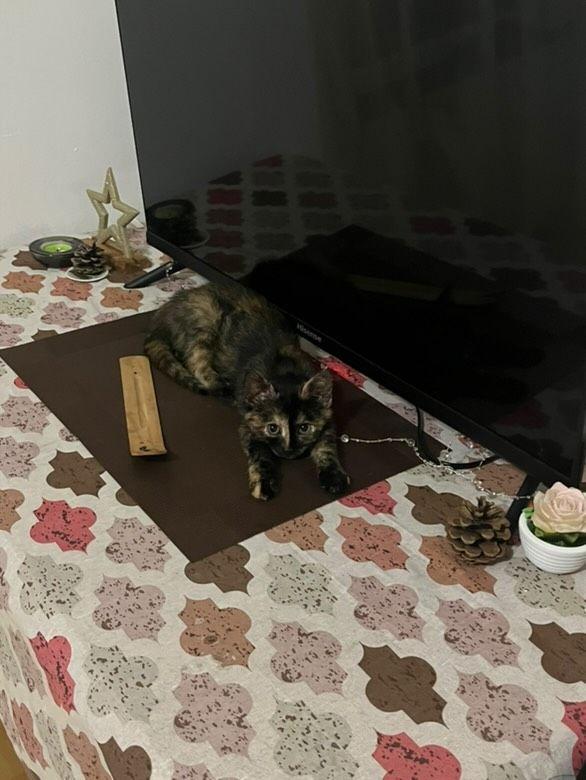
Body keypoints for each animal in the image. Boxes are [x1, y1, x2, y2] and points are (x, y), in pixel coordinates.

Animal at [144, 283, 350, 500]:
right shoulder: (248, 425)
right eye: (272, 428)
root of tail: (164, 313)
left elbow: (327, 447)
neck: (285, 370)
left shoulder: (328, 419)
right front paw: (264, 483)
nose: (289, 451)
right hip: (206, 319)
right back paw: (222, 388)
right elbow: (261, 455)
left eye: (304, 428)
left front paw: (334, 476)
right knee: (195, 362)